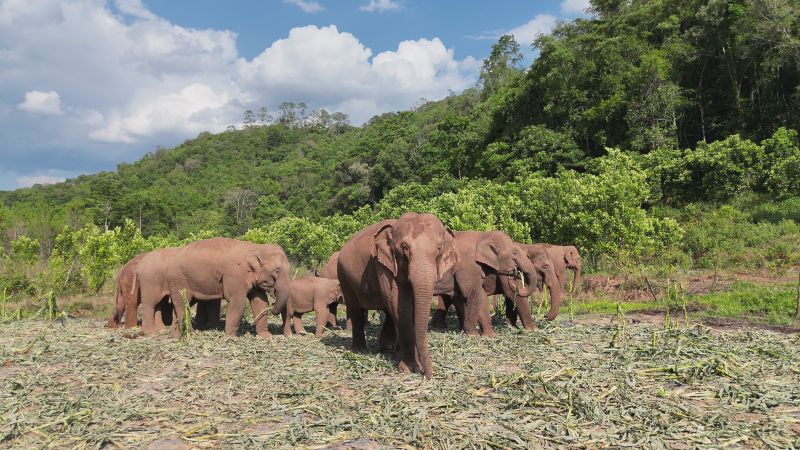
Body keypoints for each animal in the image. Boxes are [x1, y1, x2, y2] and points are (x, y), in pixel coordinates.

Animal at [337, 212, 457, 378]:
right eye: (404, 247)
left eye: (439, 247)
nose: (428, 375)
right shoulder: (383, 264)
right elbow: (402, 308)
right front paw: (409, 368)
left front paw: (410, 363)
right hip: (344, 276)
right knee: (355, 309)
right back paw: (359, 351)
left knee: (388, 312)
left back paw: (388, 349)